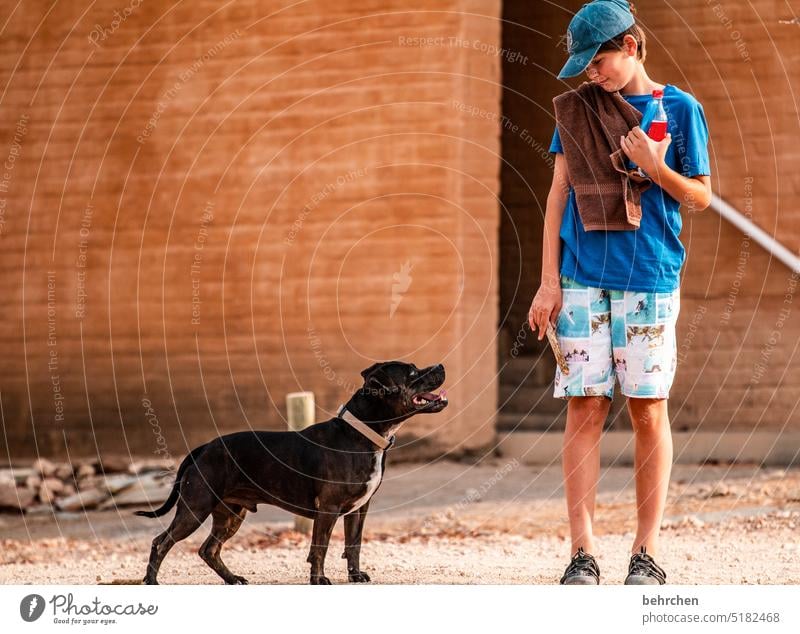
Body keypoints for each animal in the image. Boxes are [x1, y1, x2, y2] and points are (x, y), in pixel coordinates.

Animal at [140, 360, 446, 584]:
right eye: (412, 372)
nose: (441, 365)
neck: (361, 435)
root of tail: (203, 447)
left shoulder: (360, 509)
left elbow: (353, 545)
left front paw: (355, 576)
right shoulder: (328, 509)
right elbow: (319, 547)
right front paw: (319, 579)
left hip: (230, 514)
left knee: (209, 549)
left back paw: (232, 579)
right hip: (196, 508)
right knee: (160, 542)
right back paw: (152, 581)